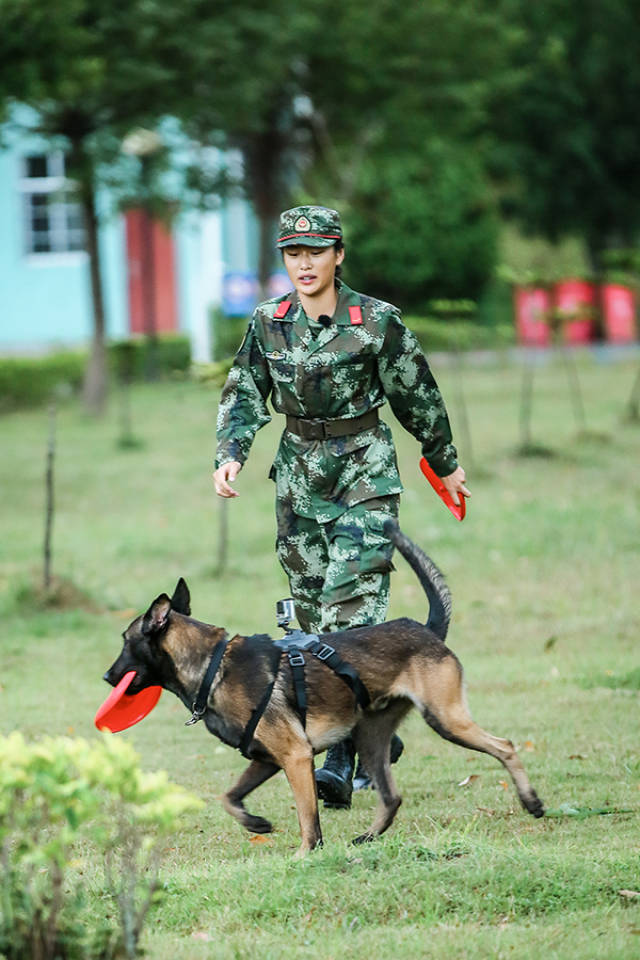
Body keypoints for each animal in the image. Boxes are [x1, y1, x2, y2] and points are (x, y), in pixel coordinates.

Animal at [102, 520, 544, 860]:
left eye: (125, 642)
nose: (107, 677)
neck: (213, 665)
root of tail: (425, 628)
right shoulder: (265, 759)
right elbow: (228, 797)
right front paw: (256, 822)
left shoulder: (296, 758)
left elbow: (307, 817)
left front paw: (305, 853)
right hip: (371, 737)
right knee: (391, 796)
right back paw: (367, 837)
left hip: (446, 720)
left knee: (505, 746)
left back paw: (532, 802)